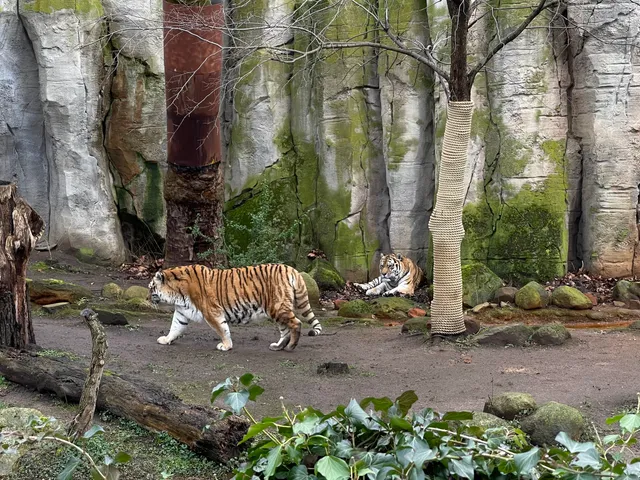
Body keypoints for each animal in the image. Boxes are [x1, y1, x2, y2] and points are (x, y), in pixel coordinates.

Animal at [147, 263, 323, 352]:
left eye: (151, 288)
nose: (146, 299)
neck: (177, 293)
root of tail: (292, 269)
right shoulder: (182, 312)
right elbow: (175, 327)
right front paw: (166, 340)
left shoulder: (212, 312)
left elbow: (222, 329)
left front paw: (226, 346)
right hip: (276, 310)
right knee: (285, 330)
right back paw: (278, 347)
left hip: (278, 307)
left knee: (296, 323)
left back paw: (291, 347)